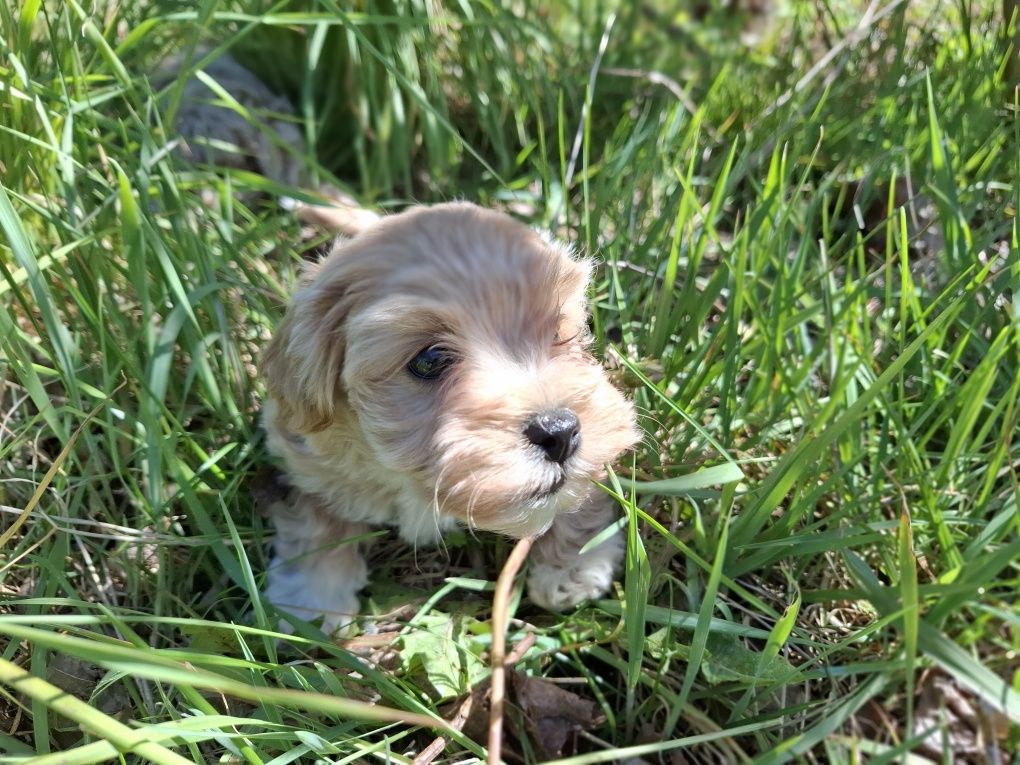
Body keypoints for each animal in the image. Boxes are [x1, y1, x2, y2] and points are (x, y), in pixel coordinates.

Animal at [263, 204, 640, 636]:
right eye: (429, 360)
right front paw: (311, 598)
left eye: (560, 332)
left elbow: (582, 494)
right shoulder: (307, 457)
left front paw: (574, 566)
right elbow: (319, 521)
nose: (559, 432)